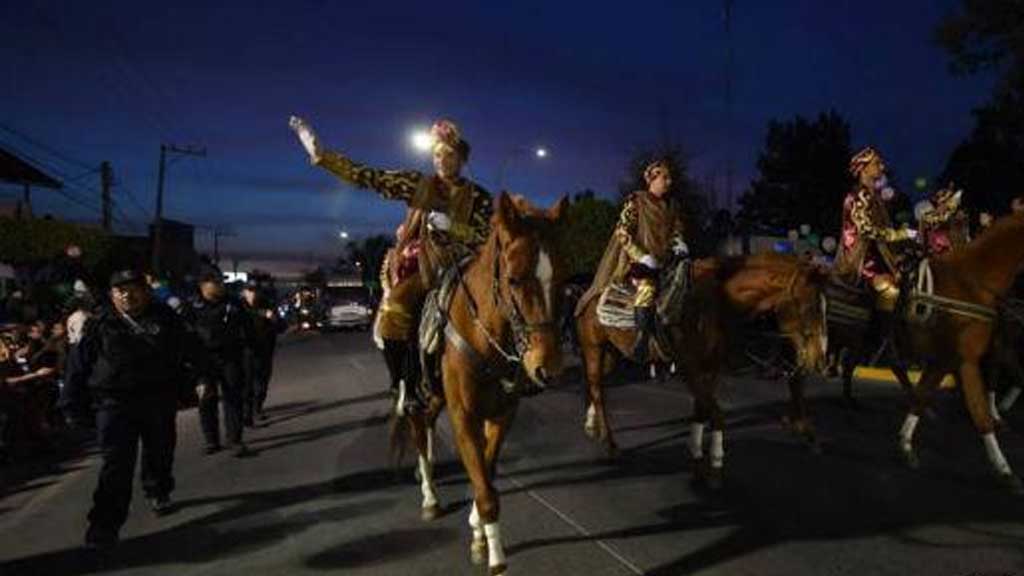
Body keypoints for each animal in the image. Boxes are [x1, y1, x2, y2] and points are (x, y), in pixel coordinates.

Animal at [391, 190, 569, 569]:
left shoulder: (502, 415)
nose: (548, 368)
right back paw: (429, 496)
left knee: (429, 424)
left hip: (436, 395)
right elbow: (485, 488)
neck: (484, 335)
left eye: (562, 278)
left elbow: (486, 472)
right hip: (417, 395)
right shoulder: (464, 417)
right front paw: (496, 558)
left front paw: (477, 531)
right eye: (514, 278)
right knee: (418, 430)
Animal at [581, 251, 827, 471]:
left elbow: (702, 409)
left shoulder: (711, 367)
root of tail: (591, 293)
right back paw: (610, 445)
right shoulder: (689, 368)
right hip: (594, 349)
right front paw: (715, 462)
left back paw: (593, 425)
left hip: (611, 354)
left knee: (596, 387)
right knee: (597, 391)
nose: (819, 359)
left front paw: (697, 451)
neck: (718, 301)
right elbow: (716, 413)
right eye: (810, 307)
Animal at [892, 211, 1024, 487]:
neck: (972, 284)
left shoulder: (947, 360)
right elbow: (979, 412)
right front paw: (1005, 470)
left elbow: (924, 395)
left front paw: (906, 444)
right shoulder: (963, 359)